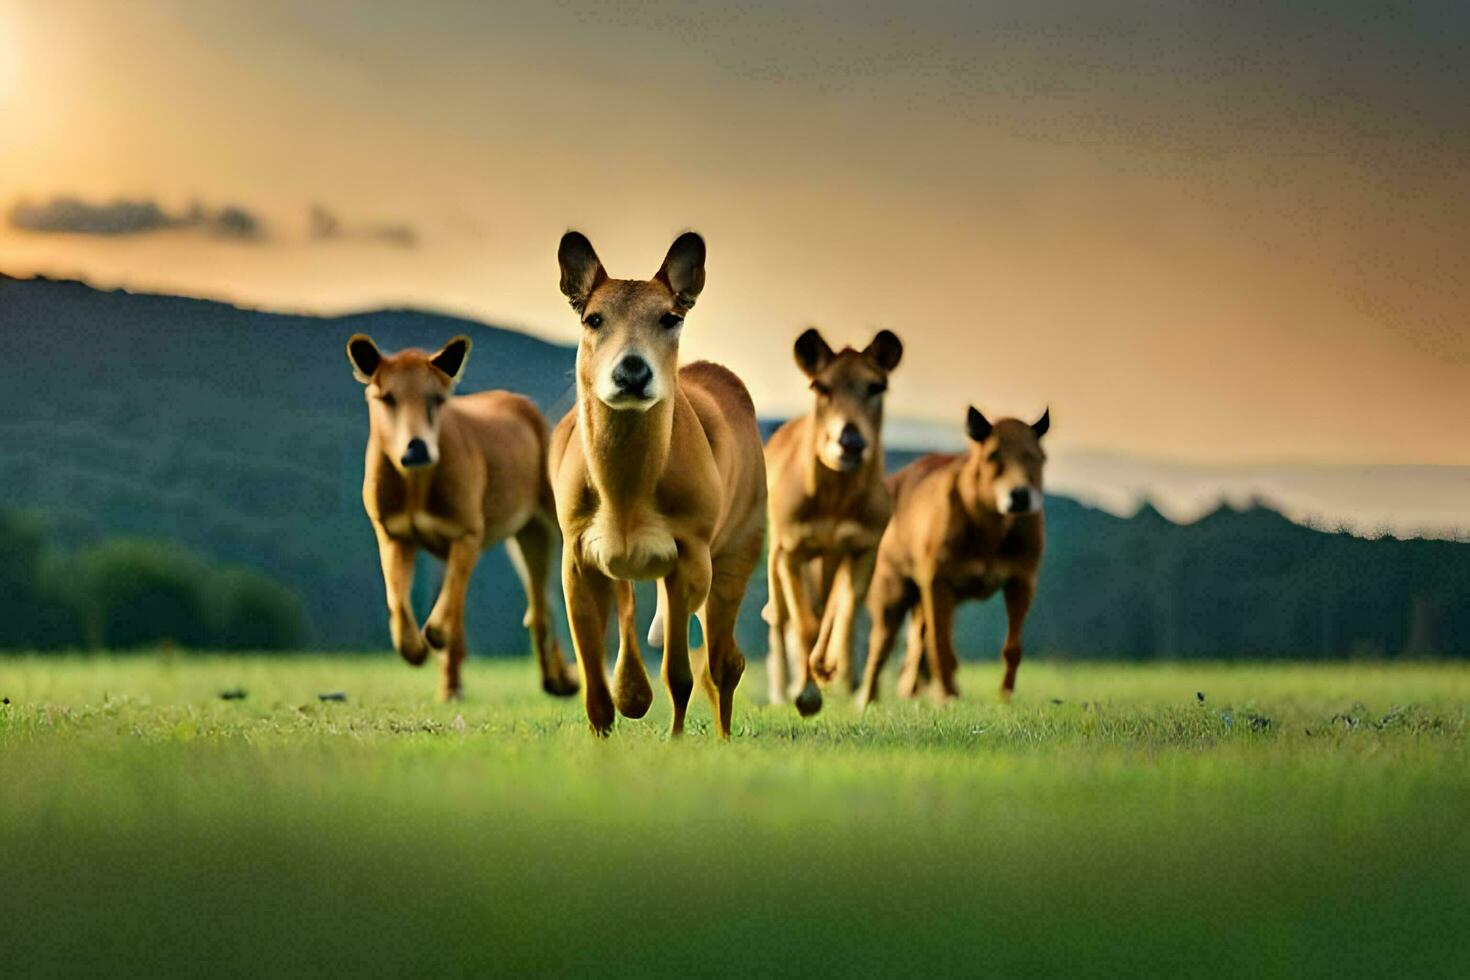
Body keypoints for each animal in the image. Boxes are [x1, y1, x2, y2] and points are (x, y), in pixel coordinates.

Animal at [343, 333, 573, 702]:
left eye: (437, 399)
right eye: (387, 397)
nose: (416, 448)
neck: (417, 484)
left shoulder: (467, 532)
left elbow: (443, 615)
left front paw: (434, 640)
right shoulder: (392, 533)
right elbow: (398, 600)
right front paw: (416, 650)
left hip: (547, 518)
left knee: (545, 603)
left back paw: (563, 681)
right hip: (523, 533)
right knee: (537, 607)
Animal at [546, 230, 764, 734]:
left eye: (670, 317)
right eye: (593, 318)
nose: (632, 370)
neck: (626, 494)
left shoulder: (690, 549)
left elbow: (680, 673)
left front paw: (677, 739)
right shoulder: (575, 551)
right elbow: (593, 676)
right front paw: (604, 729)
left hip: (741, 539)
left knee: (723, 659)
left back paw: (722, 733)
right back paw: (633, 693)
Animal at [764, 326, 899, 717]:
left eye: (876, 386)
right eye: (820, 387)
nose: (850, 440)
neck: (835, 503)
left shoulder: (865, 544)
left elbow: (845, 610)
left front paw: (828, 668)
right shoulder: (791, 547)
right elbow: (803, 623)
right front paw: (806, 697)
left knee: (830, 607)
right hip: (774, 550)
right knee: (779, 617)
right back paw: (781, 693)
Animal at [858, 402, 1052, 708]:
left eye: (1037, 457)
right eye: (992, 456)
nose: (1020, 495)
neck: (990, 530)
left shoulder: (1022, 580)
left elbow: (1012, 647)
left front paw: (1005, 695)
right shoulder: (938, 581)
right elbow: (941, 646)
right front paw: (947, 697)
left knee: (917, 644)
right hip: (892, 590)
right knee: (882, 644)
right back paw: (870, 698)